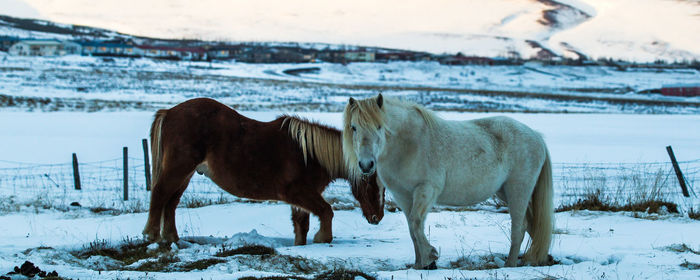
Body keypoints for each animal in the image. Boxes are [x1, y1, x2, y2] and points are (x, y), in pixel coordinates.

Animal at [142, 98, 382, 245]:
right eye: (373, 181)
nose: (377, 217)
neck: (310, 155)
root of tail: (169, 112)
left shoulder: (302, 198)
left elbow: (301, 226)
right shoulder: (297, 193)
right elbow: (326, 212)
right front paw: (322, 238)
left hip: (186, 173)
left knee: (171, 201)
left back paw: (172, 238)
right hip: (178, 168)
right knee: (160, 194)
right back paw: (152, 235)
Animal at [342, 94, 556, 270]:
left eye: (379, 126)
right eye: (354, 127)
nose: (366, 164)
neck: (408, 144)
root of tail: (536, 136)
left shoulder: (426, 190)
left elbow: (416, 222)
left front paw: (431, 256)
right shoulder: (403, 196)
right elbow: (412, 229)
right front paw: (419, 264)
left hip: (518, 190)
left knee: (518, 228)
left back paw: (509, 265)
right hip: (505, 192)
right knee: (531, 224)